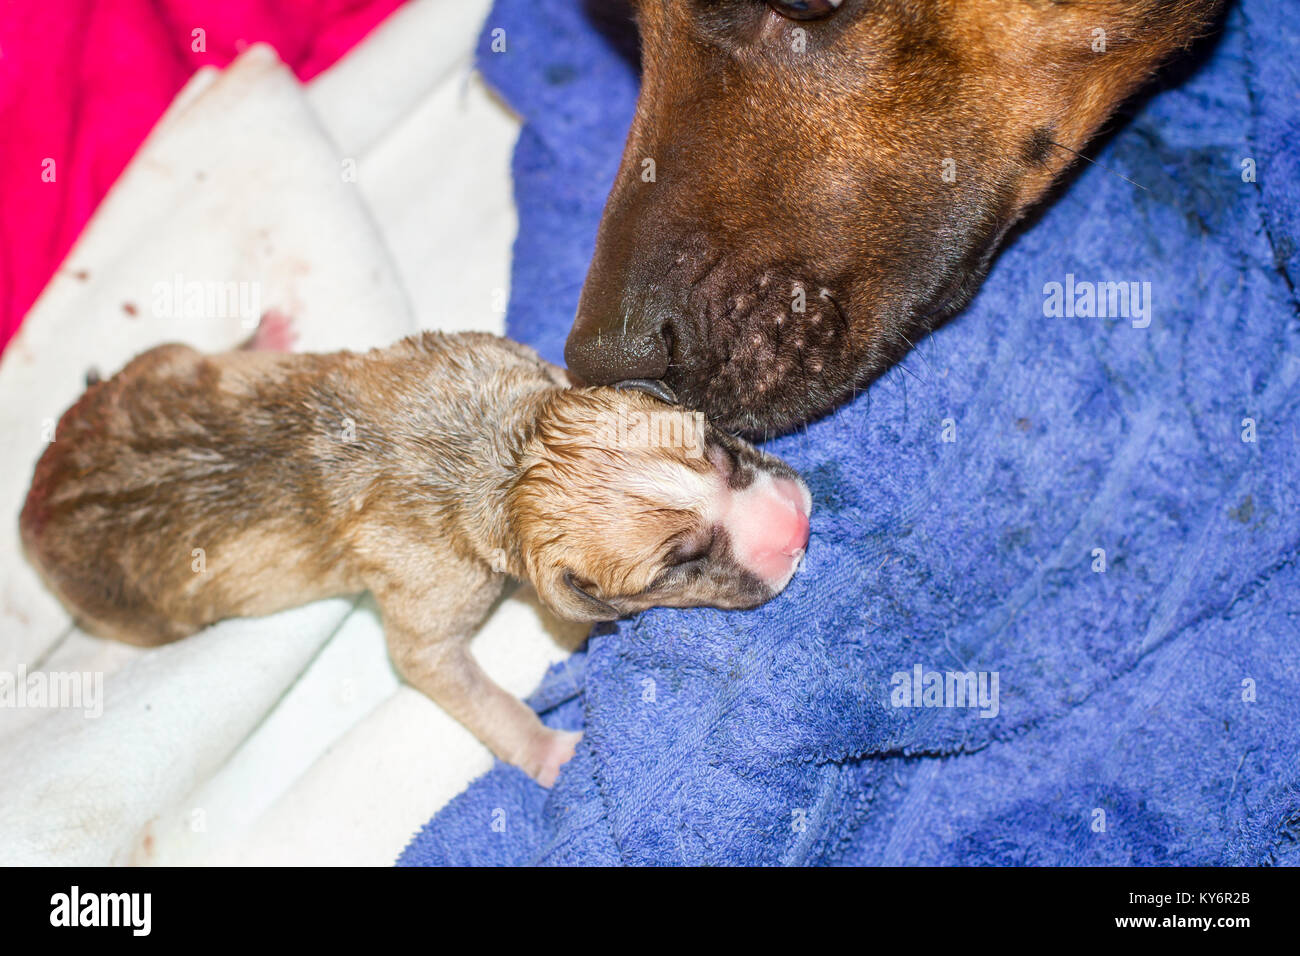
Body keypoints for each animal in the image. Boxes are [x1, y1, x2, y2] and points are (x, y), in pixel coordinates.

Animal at [20, 321, 806, 785]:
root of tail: (36, 502)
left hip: (158, 367)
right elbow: (430, 664)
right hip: (141, 616)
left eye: (714, 445)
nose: (796, 524)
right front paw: (545, 748)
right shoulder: (436, 583)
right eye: (678, 563)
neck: (503, 459)